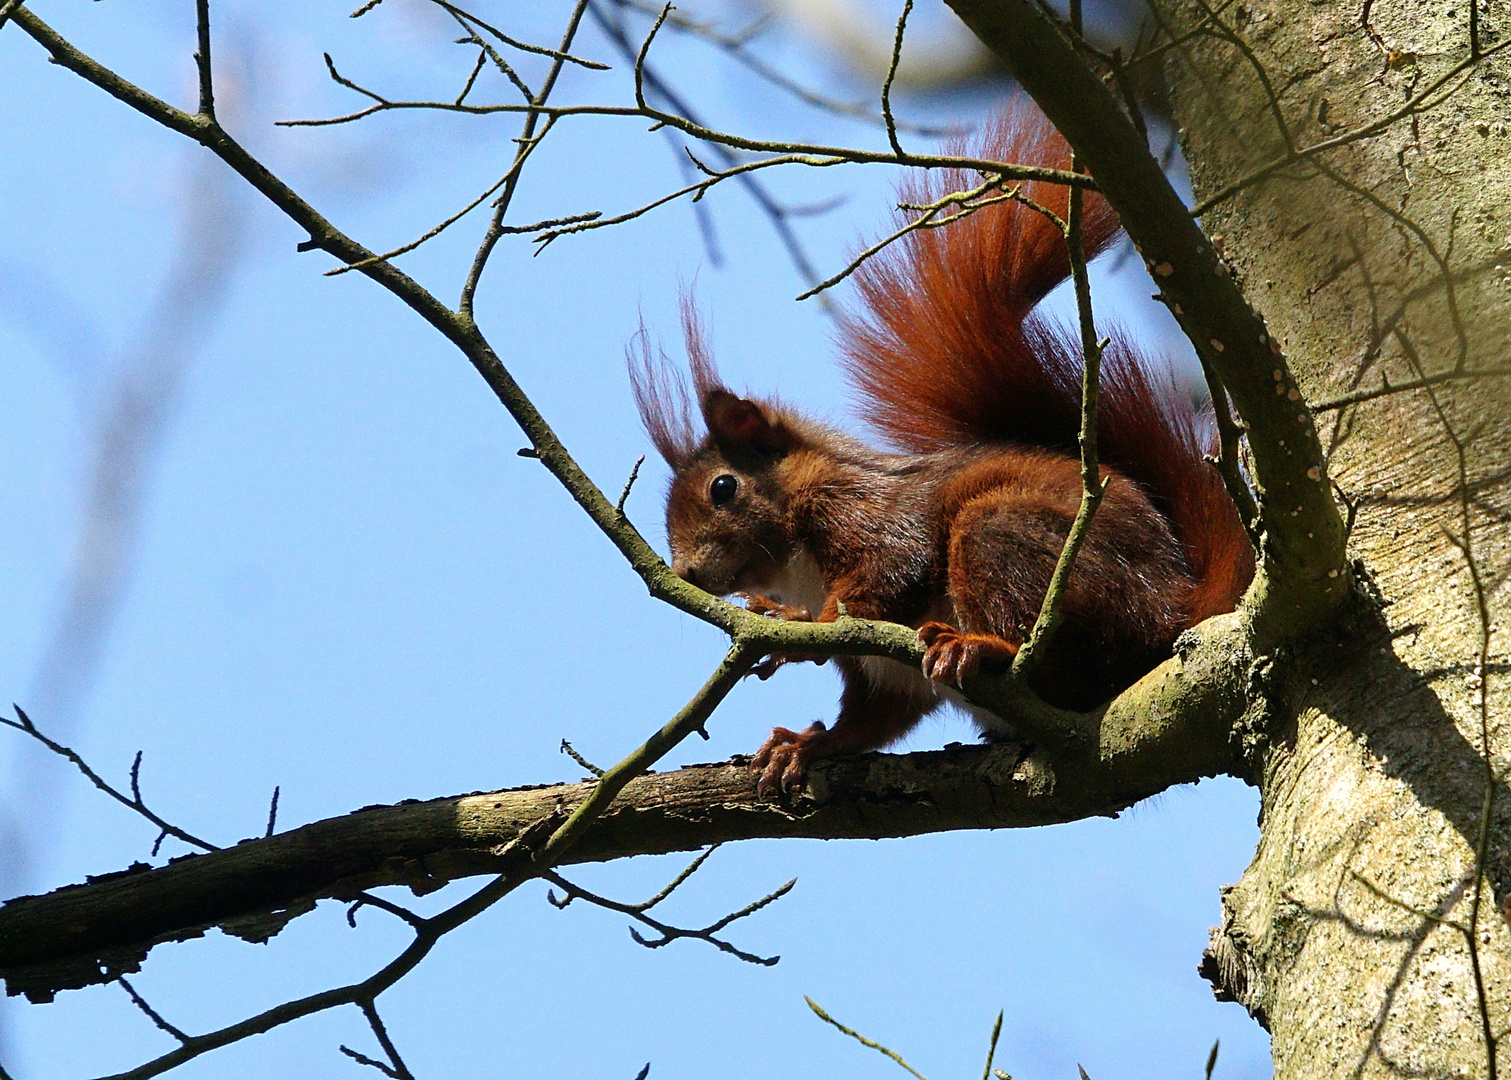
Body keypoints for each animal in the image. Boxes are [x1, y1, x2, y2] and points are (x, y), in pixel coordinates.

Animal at [625, 105, 1251, 791]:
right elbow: (874, 714)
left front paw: (799, 626)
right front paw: (806, 745)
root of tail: (1175, 610)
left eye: (723, 487)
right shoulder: (879, 673)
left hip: (1012, 539)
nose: (686, 573)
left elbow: (889, 573)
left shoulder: (861, 509)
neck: (795, 566)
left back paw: (982, 648)